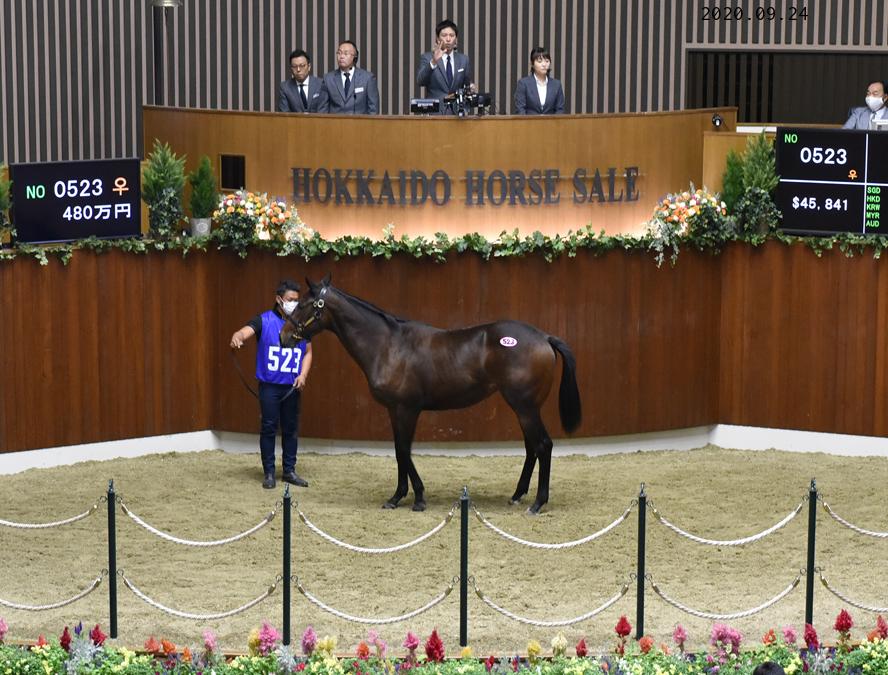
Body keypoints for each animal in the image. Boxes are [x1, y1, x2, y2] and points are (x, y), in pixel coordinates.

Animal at [280, 275, 582, 514]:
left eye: (304, 304)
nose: (284, 336)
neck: (388, 345)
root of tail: (544, 337)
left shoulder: (407, 409)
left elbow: (404, 450)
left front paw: (417, 498)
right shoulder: (394, 410)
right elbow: (399, 451)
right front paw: (397, 497)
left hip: (525, 407)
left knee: (543, 446)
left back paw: (538, 503)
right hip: (524, 408)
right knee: (532, 448)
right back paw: (518, 495)